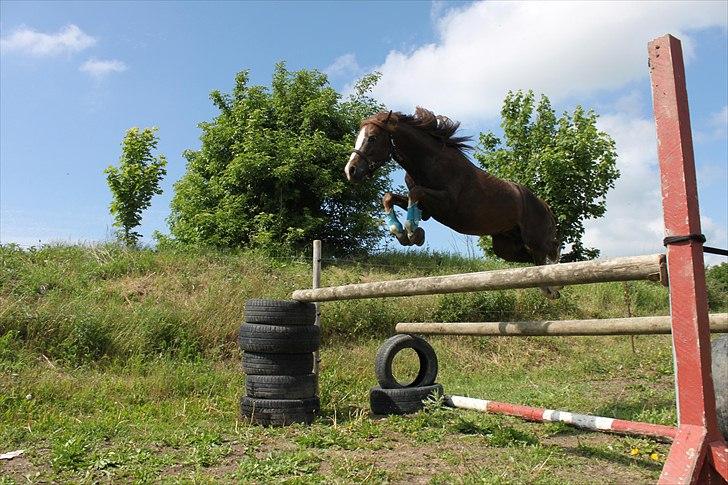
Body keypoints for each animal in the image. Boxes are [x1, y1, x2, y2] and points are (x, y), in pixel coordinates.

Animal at [344, 107, 562, 299]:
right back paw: (552, 287)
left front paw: (413, 233)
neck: (428, 161)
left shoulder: (448, 204)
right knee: (532, 259)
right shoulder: (427, 208)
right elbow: (389, 197)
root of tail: (545, 206)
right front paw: (401, 233)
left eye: (372, 138)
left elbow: (416, 192)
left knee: (548, 250)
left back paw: (553, 283)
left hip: (534, 237)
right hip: (505, 246)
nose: (350, 171)